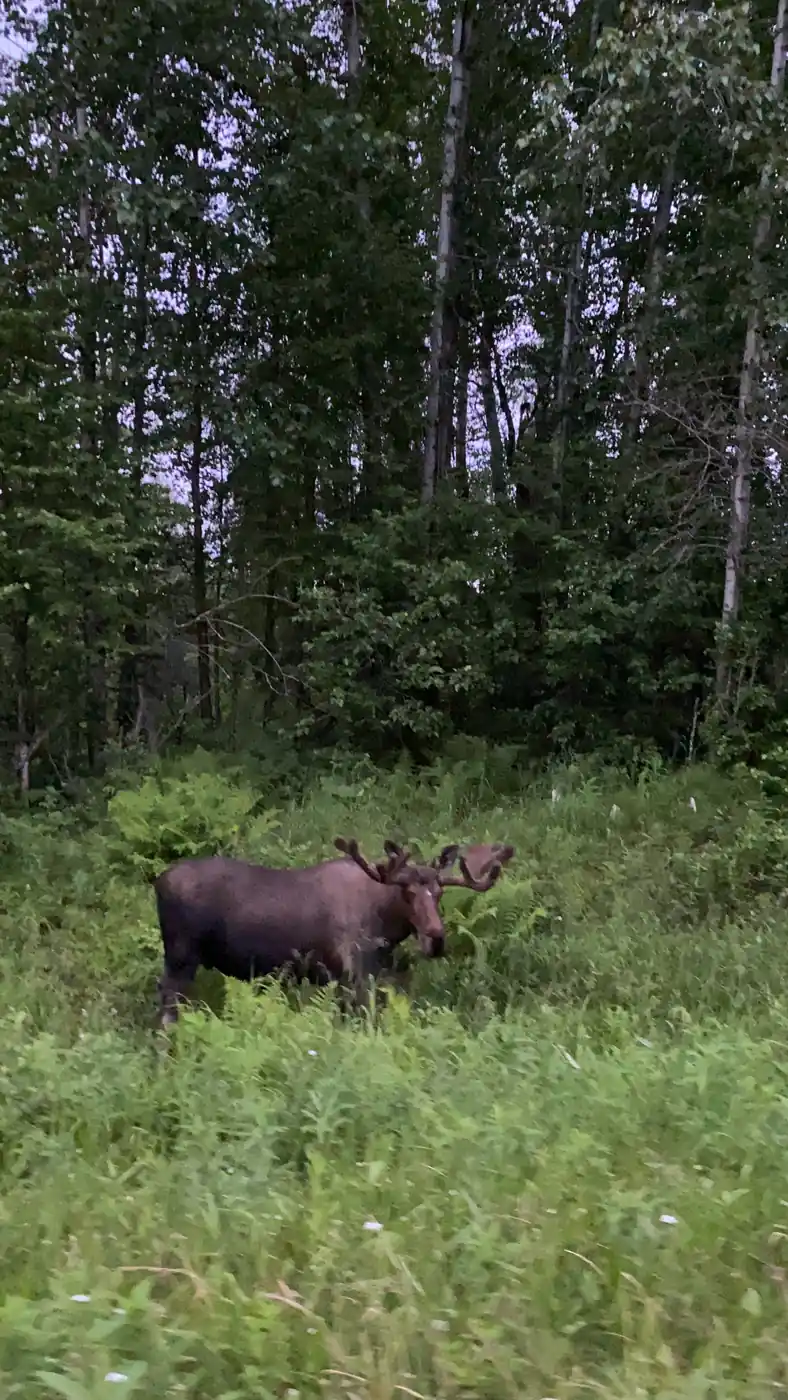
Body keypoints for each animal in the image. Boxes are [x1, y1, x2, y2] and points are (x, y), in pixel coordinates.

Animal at [153, 836, 504, 1028]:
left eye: (439, 892)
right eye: (407, 893)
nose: (436, 938)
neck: (385, 927)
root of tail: (158, 882)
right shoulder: (349, 974)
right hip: (181, 958)